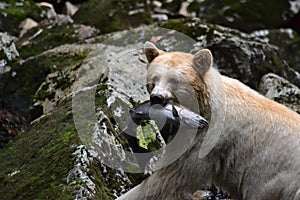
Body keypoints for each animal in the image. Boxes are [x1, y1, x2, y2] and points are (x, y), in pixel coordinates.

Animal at [117, 41, 300, 199]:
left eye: (174, 81)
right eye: (154, 79)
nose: (156, 97)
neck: (205, 105)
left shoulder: (212, 138)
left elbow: (168, 181)